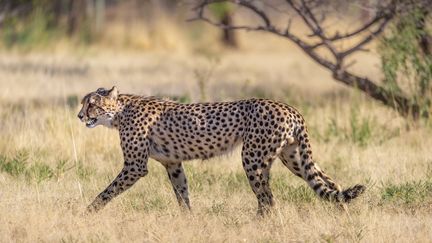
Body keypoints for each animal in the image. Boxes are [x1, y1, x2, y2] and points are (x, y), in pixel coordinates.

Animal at [77, 86, 364, 214]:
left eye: (92, 104)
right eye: (83, 103)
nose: (79, 116)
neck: (120, 111)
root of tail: (289, 107)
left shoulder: (135, 167)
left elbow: (107, 191)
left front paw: (87, 213)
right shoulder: (173, 164)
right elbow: (182, 194)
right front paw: (188, 220)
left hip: (253, 158)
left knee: (268, 200)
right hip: (293, 158)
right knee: (330, 183)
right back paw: (342, 214)